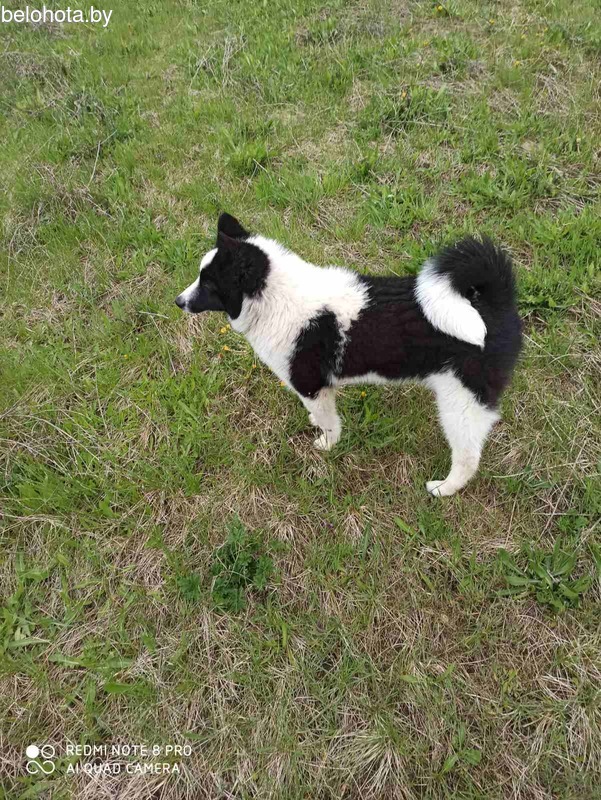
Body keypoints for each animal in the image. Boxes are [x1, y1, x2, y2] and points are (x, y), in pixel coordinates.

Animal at [175, 213, 522, 496]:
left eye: (209, 284)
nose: (178, 301)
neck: (274, 298)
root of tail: (492, 302)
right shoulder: (318, 390)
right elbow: (320, 415)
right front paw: (315, 423)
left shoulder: (312, 386)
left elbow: (330, 423)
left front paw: (328, 445)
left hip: (461, 403)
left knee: (467, 458)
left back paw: (444, 489)